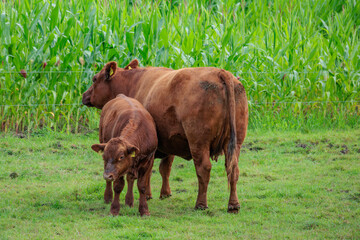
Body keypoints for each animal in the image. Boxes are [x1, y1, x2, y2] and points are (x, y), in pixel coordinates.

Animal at [83, 59, 249, 212]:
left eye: (94, 79)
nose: (84, 95)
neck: (133, 82)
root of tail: (221, 72)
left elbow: (147, 172)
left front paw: (148, 195)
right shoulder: (170, 140)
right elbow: (165, 168)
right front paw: (165, 193)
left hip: (198, 142)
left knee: (204, 169)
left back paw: (201, 204)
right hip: (235, 143)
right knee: (233, 169)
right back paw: (233, 204)